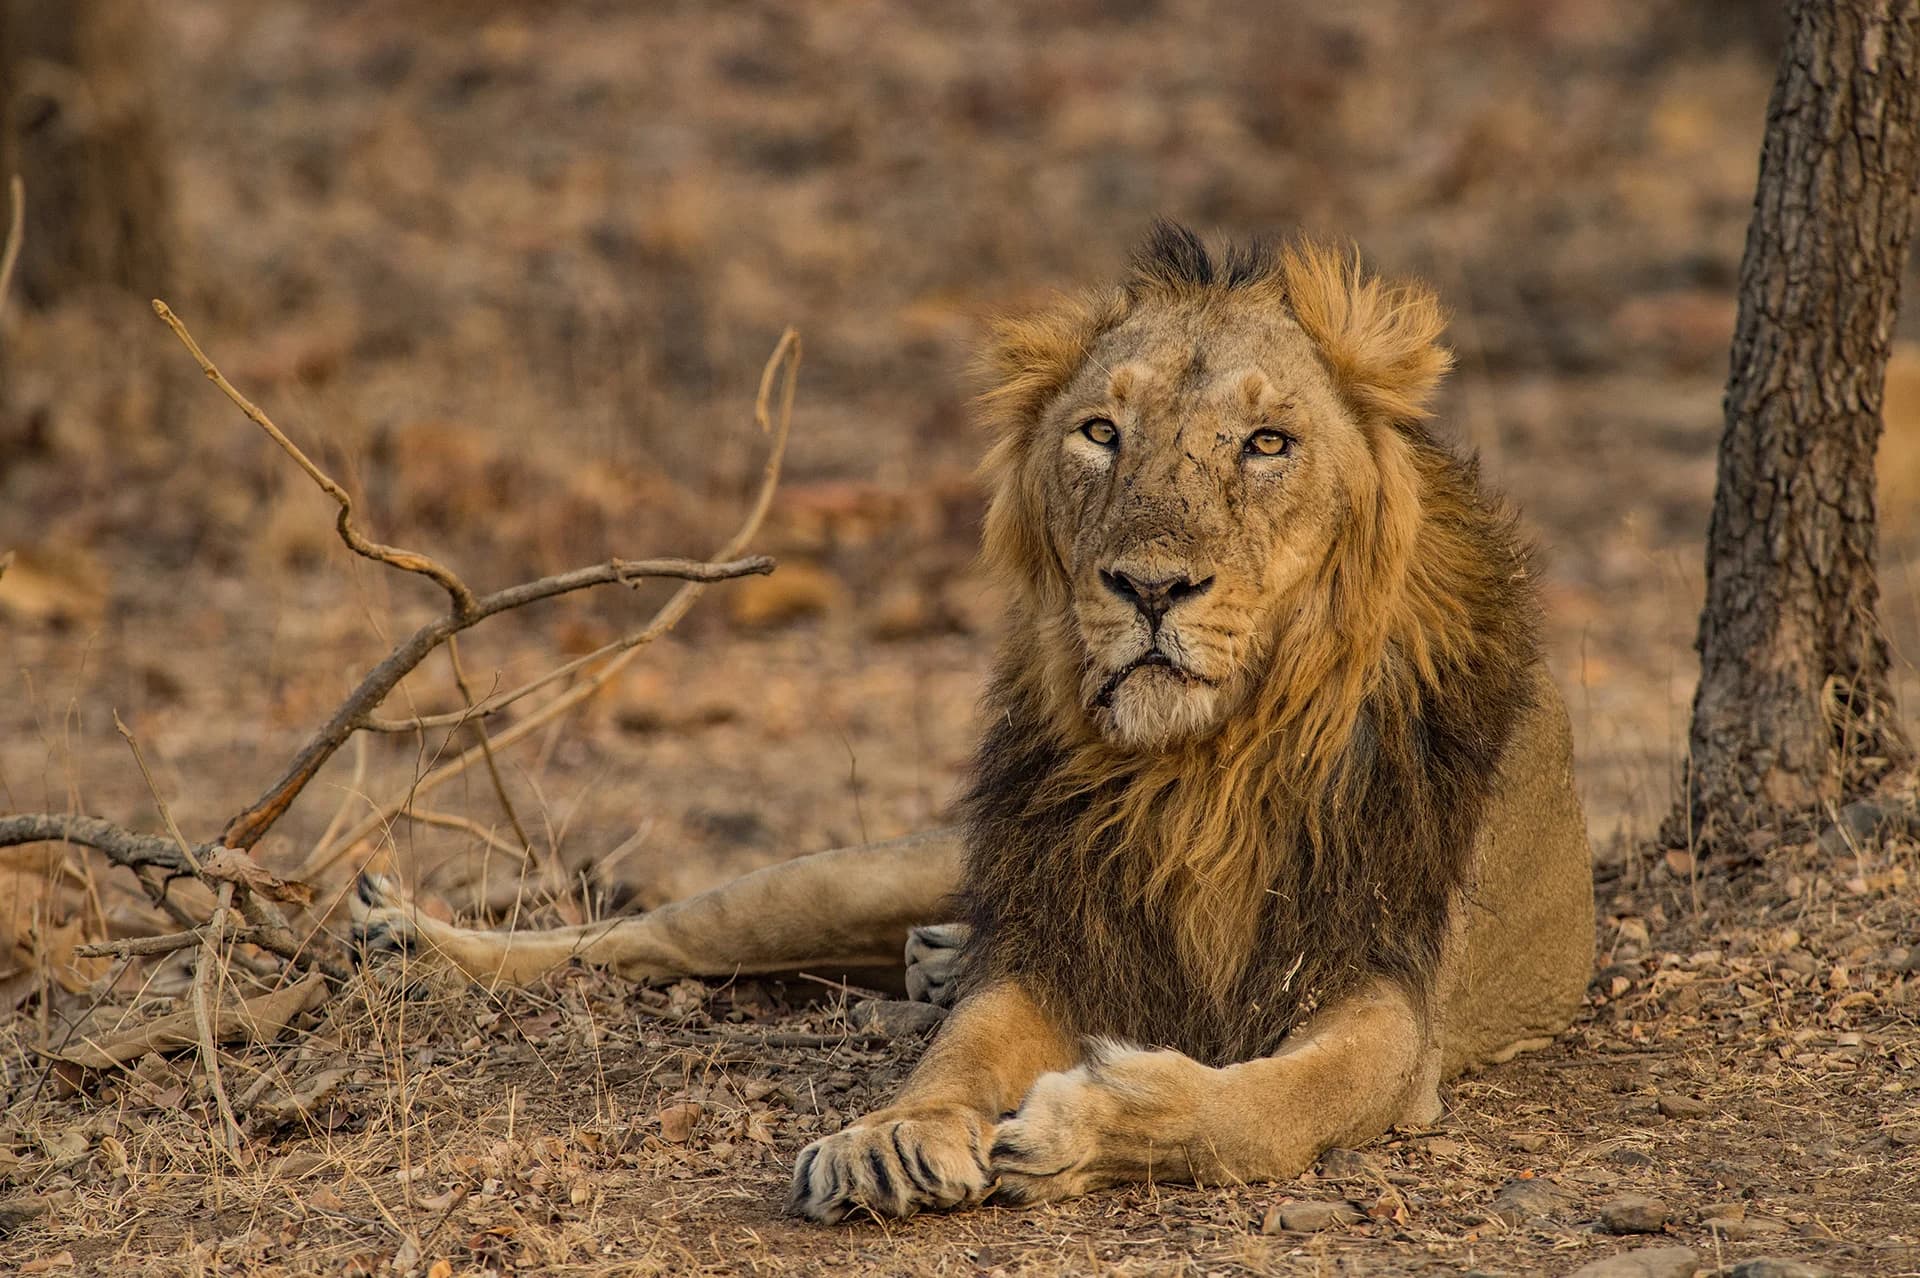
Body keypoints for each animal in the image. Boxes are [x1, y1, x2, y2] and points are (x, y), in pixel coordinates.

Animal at [354, 222, 1594, 1224]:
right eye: (1101, 433)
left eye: (1268, 444)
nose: (1149, 588)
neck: (1201, 767)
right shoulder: (1058, 928)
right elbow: (961, 1053)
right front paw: (889, 1137)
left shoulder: (1388, 997)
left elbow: (1266, 1109)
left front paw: (1087, 1123)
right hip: (851, 878)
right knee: (653, 937)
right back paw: (409, 937)